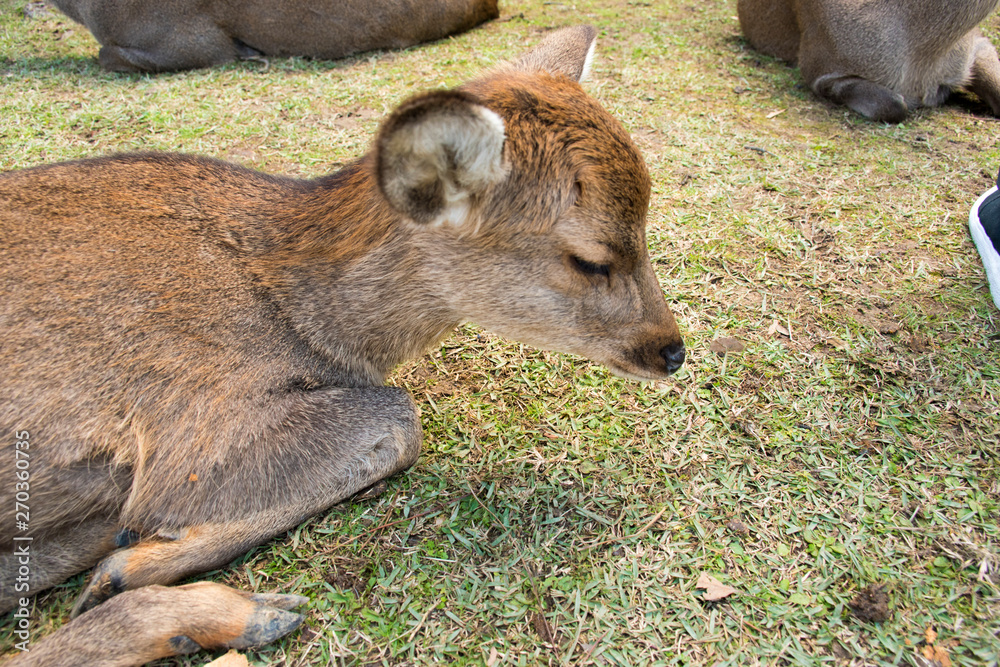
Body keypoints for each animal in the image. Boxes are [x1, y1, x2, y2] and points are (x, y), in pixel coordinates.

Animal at [0, 25, 685, 666]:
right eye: (590, 258)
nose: (673, 350)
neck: (305, 324)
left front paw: (120, 561)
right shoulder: (187, 424)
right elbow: (399, 415)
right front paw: (130, 567)